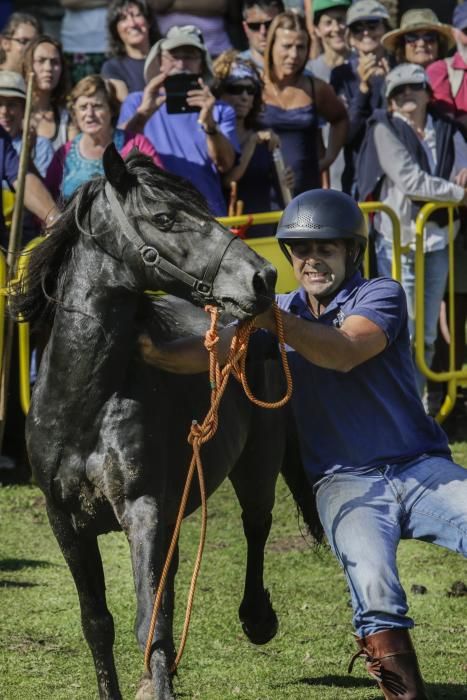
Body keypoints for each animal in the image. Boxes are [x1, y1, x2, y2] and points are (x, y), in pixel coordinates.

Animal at [13, 146, 318, 696]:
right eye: (164, 219)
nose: (263, 278)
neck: (84, 405)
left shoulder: (145, 510)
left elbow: (149, 620)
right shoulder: (65, 522)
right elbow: (98, 623)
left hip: (257, 466)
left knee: (256, 525)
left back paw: (257, 618)